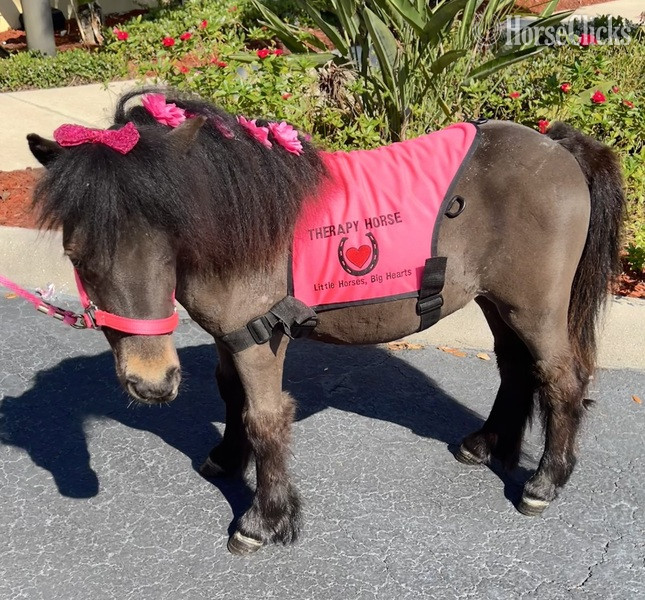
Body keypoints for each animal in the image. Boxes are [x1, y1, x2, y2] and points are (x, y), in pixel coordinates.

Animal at [26, 87, 625, 555]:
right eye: (77, 255)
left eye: (167, 238)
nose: (151, 384)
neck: (239, 222)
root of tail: (559, 147)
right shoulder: (227, 338)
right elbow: (231, 398)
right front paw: (226, 460)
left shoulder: (258, 340)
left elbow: (264, 418)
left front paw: (263, 521)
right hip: (495, 302)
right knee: (516, 370)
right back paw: (484, 446)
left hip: (536, 308)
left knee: (561, 380)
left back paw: (544, 483)